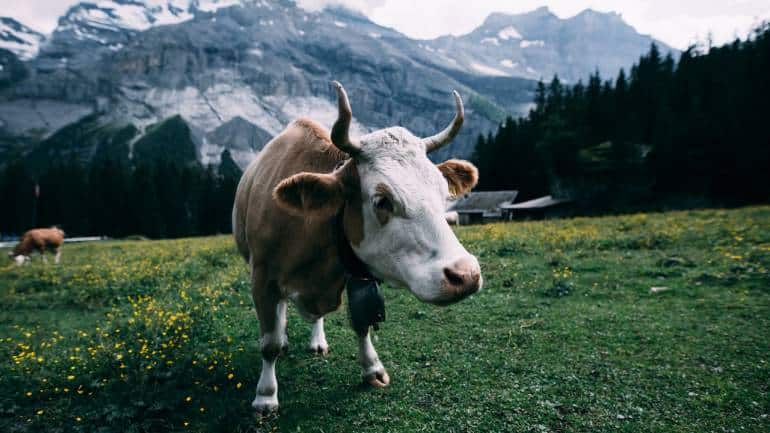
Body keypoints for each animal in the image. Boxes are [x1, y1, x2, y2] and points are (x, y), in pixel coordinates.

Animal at [232, 82, 482, 413]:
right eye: (382, 200)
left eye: (444, 193)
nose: (465, 275)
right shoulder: (262, 278)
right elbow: (269, 343)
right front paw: (265, 395)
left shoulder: (356, 275)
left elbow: (362, 322)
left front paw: (372, 369)